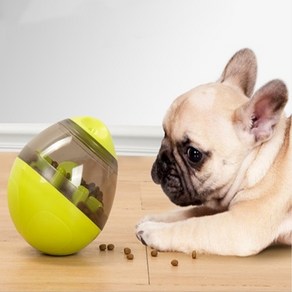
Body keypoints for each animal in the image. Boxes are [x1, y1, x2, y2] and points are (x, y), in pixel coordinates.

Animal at [136, 48, 292, 256]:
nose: (162, 160)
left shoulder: (241, 225)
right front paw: (156, 219)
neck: (265, 160)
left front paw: (153, 230)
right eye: (164, 133)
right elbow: (191, 213)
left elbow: (193, 226)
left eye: (193, 154)